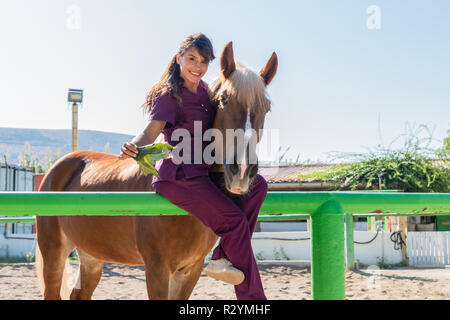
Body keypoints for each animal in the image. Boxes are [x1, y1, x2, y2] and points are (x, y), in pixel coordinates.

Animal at [36, 42, 278, 300]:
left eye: (267, 108)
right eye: (223, 100)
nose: (242, 169)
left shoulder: (190, 270)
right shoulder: (157, 269)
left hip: (91, 256)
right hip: (54, 253)